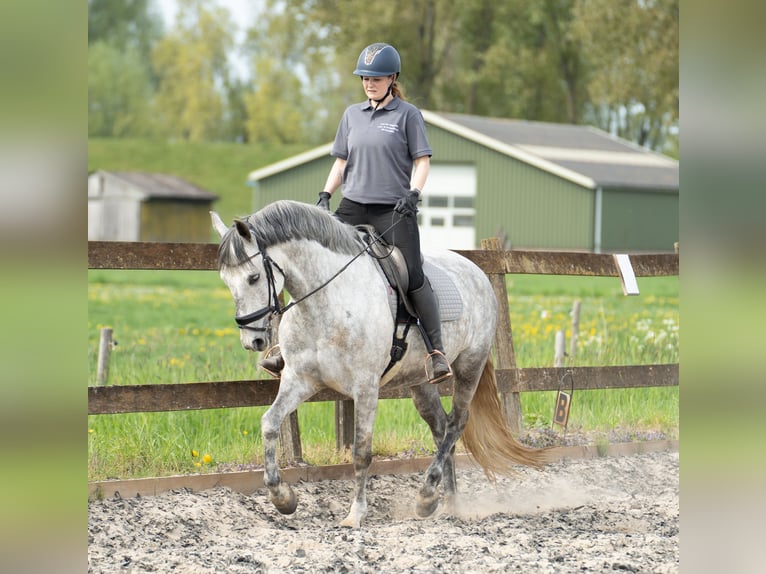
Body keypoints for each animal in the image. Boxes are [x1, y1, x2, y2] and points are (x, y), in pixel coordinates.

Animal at [211, 200, 547, 528]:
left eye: (253, 277)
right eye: (225, 281)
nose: (252, 341)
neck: (327, 301)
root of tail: (476, 270)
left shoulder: (365, 387)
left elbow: (361, 451)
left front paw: (355, 514)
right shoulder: (300, 380)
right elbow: (269, 423)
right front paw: (283, 498)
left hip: (469, 366)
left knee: (455, 424)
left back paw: (427, 495)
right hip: (420, 382)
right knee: (441, 429)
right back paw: (447, 501)